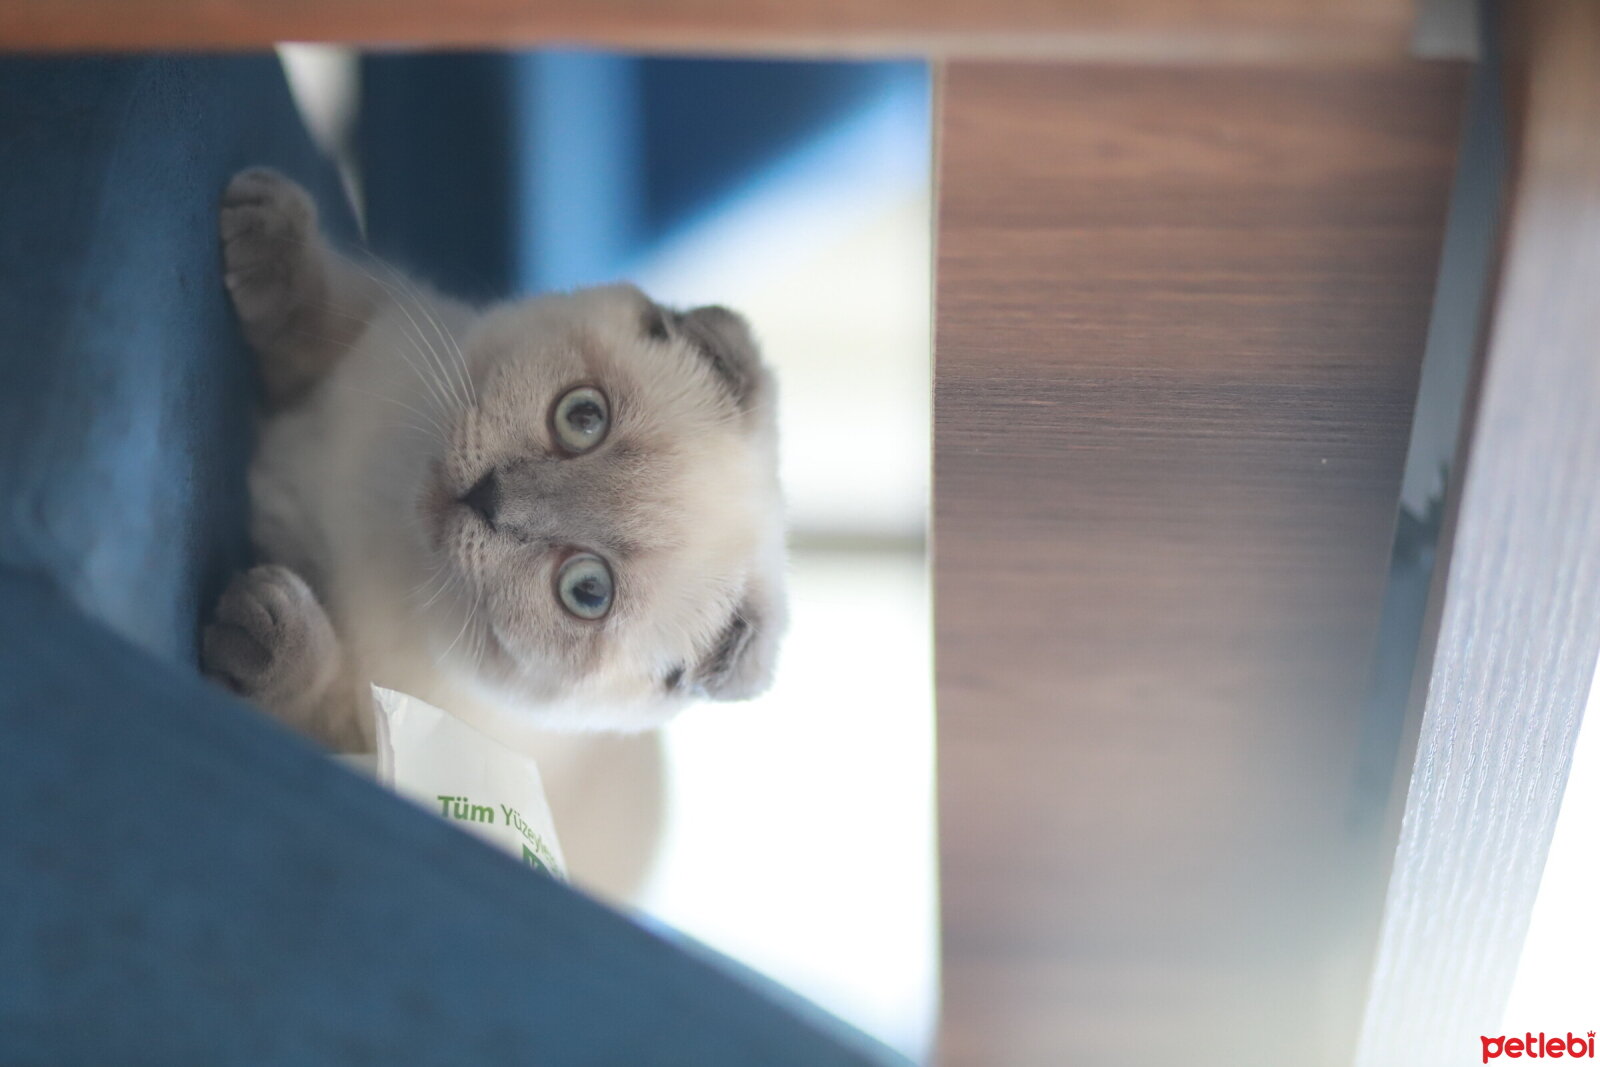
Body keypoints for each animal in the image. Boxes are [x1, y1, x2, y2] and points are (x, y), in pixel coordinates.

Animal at [203, 167, 790, 755]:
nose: (488, 498)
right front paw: (266, 232)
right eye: (583, 417)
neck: (384, 504)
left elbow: (327, 700)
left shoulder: (385, 737)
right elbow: (322, 304)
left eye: (588, 590)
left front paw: (265, 635)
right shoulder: (380, 327)